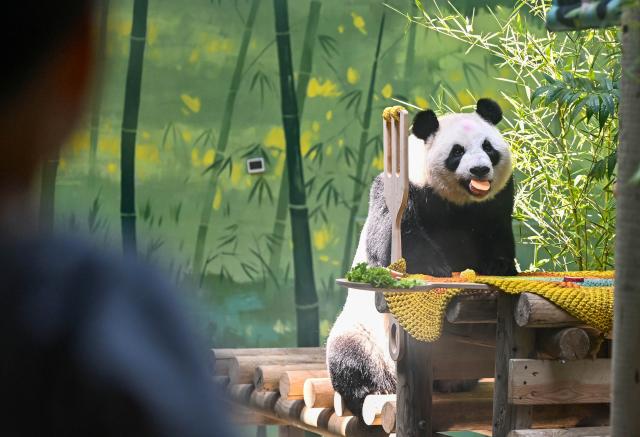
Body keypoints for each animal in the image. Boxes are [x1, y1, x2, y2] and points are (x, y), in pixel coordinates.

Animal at [326, 98, 517, 417]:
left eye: (488, 146)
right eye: (457, 151)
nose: (480, 170)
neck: (459, 200)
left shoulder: (496, 201)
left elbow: (498, 234)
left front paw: (499, 267)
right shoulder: (406, 189)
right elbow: (392, 238)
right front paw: (434, 267)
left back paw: (457, 383)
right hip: (362, 333)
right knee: (347, 356)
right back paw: (367, 391)